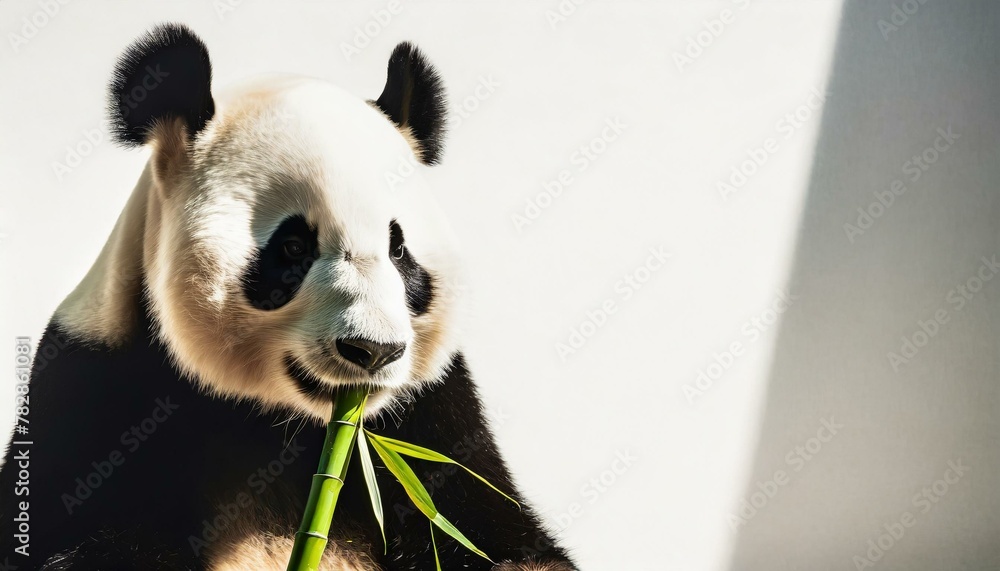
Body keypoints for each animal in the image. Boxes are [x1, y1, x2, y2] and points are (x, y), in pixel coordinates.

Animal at [0, 24, 576, 571]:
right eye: (294, 247)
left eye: (399, 250)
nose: (373, 351)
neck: (283, 425)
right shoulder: (93, 395)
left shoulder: (433, 414)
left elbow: (494, 534)